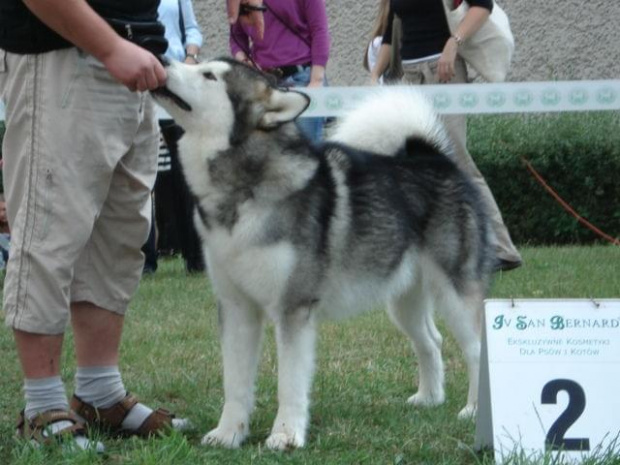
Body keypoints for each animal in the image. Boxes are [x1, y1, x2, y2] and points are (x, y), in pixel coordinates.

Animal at [151, 56, 494, 448]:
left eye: (209, 76)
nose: (161, 58)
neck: (242, 193)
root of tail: (436, 158)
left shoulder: (294, 307)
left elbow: (289, 383)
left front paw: (285, 435)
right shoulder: (236, 307)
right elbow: (235, 383)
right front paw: (228, 434)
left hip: (455, 293)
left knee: (476, 347)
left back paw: (473, 410)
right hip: (402, 299)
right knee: (431, 341)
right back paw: (429, 398)